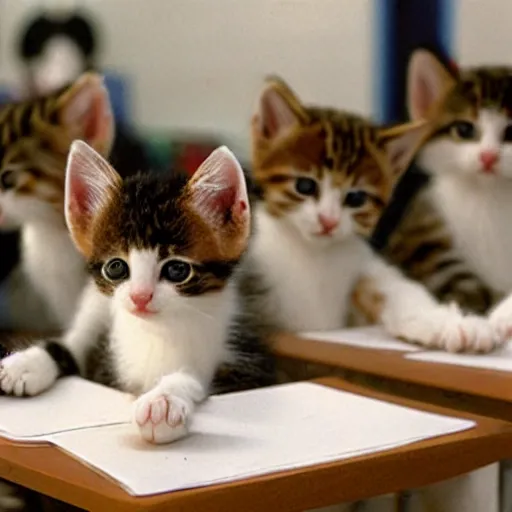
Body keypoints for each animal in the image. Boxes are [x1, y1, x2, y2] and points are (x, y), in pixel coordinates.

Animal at [0, 141, 276, 444]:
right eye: (116, 267)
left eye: (177, 270)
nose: (140, 297)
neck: (156, 332)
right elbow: (70, 346)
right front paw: (24, 363)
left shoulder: (249, 370)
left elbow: (196, 380)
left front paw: (164, 400)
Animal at [244, 77, 500, 352]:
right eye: (305, 186)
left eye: (356, 198)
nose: (328, 221)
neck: (314, 255)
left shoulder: (362, 266)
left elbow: (399, 289)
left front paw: (453, 323)